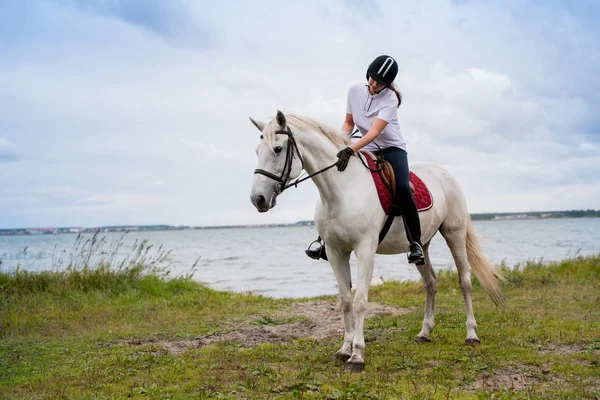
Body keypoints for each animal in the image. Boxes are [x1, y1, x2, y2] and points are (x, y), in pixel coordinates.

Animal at [248, 111, 506, 374]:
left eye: (278, 149)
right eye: (258, 150)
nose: (258, 199)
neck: (342, 189)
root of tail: (445, 174)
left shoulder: (365, 250)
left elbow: (360, 301)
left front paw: (357, 356)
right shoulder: (335, 252)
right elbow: (345, 301)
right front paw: (344, 349)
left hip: (454, 233)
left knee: (464, 281)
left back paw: (471, 335)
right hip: (422, 244)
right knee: (430, 283)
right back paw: (424, 333)